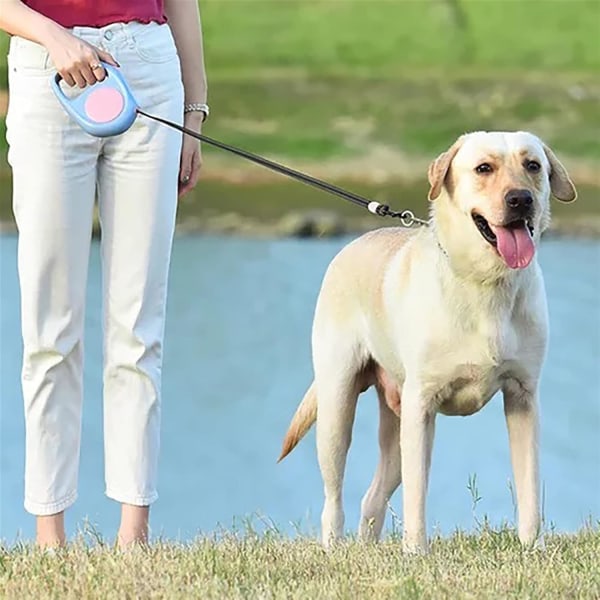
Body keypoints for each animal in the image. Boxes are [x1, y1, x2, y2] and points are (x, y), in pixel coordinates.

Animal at [278, 131, 576, 552]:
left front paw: (532, 548)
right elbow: (417, 493)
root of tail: (352, 244)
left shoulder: (523, 398)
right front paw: (416, 551)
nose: (521, 199)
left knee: (373, 496)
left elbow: (530, 485)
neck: (485, 282)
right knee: (333, 497)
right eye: (483, 168)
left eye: (533, 165)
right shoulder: (422, 405)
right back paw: (334, 548)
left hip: (395, 423)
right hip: (338, 407)